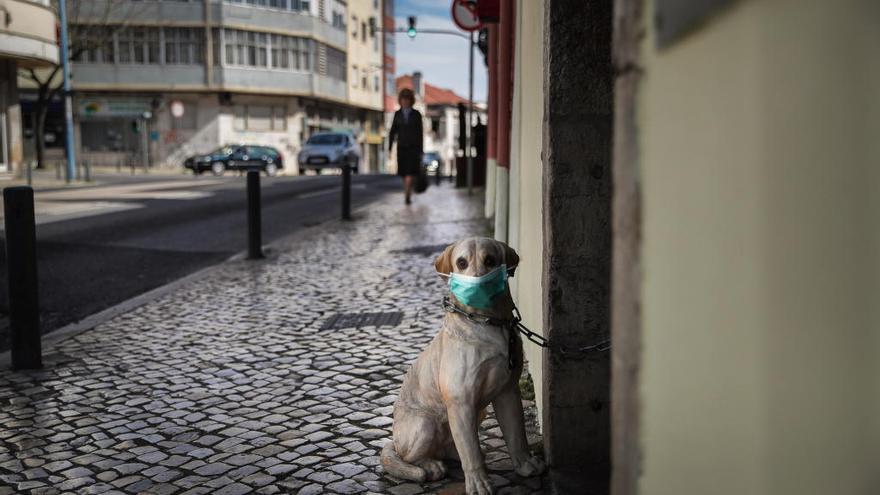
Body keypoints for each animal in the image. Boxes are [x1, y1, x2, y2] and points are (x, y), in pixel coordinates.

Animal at [382, 238, 548, 494]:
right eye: (461, 262)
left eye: (490, 260)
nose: (478, 284)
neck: (487, 323)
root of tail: (395, 440)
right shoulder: (461, 402)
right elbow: (471, 453)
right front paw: (479, 482)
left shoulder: (508, 391)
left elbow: (516, 435)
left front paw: (525, 464)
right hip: (425, 424)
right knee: (410, 457)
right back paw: (430, 465)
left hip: (480, 412)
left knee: (454, 448)